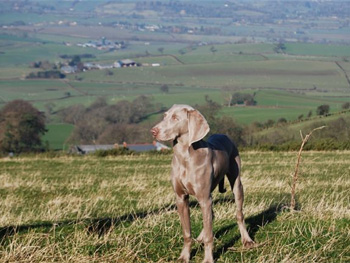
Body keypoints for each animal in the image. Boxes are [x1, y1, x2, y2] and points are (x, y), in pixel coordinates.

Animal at [150, 104, 254, 262]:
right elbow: (187, 232)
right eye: (165, 115)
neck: (184, 156)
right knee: (211, 216)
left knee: (239, 213)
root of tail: (224, 135)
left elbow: (210, 236)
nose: (153, 131)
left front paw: (208, 259)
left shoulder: (204, 198)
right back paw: (199, 238)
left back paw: (247, 240)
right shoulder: (181, 198)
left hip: (236, 184)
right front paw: (184, 256)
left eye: (175, 118)